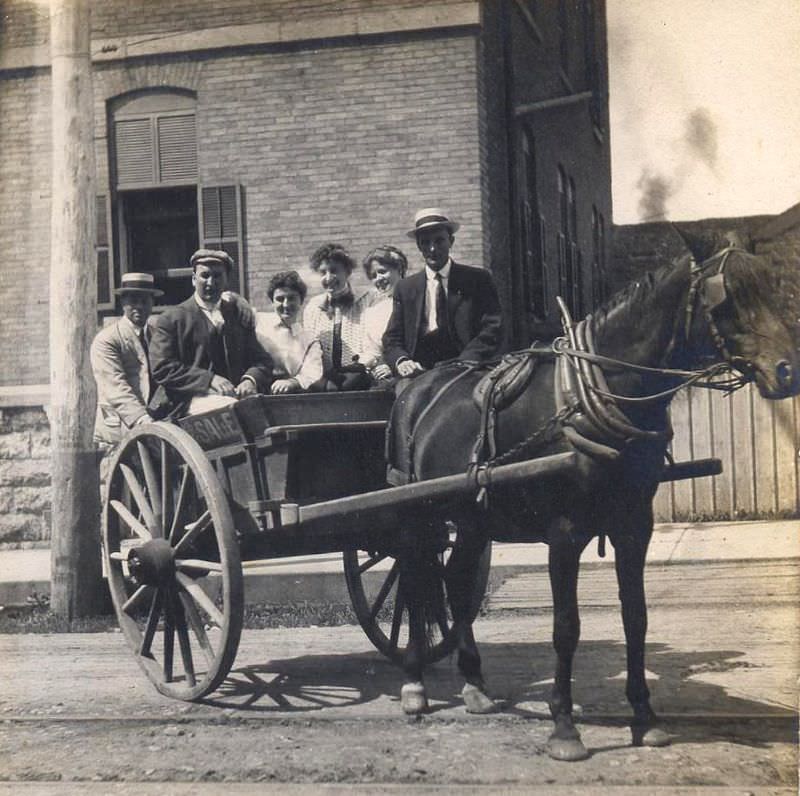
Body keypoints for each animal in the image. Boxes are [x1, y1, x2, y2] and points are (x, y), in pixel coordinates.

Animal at [390, 230, 800, 760]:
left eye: (770, 287)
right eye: (727, 300)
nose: (788, 371)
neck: (594, 398)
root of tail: (418, 384)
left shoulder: (634, 525)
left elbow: (636, 617)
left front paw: (645, 718)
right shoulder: (564, 534)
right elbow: (567, 628)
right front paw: (564, 726)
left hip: (473, 516)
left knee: (458, 581)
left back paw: (475, 684)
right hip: (416, 512)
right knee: (415, 583)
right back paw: (414, 682)